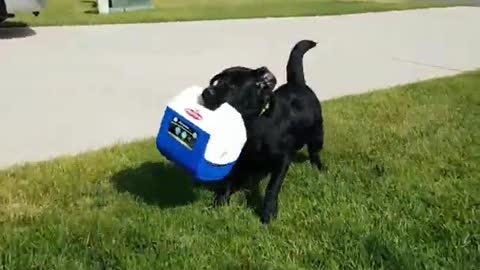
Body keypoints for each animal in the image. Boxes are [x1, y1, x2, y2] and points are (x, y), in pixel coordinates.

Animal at [201, 40, 324, 225]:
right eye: (215, 81)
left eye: (232, 86)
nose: (206, 92)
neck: (251, 126)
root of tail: (297, 83)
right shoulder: (238, 162)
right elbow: (227, 181)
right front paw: (220, 202)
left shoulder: (282, 160)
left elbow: (272, 187)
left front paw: (268, 212)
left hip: (317, 135)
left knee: (314, 152)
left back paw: (319, 167)